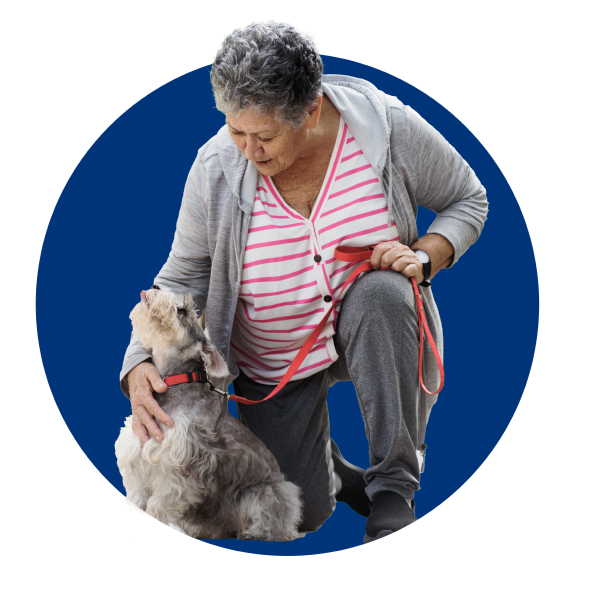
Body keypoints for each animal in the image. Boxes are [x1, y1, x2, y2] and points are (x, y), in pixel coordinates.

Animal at [115, 284, 302, 540]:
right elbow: (136, 496)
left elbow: (159, 505)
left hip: (265, 493)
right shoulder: (138, 457)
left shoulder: (181, 469)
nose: (155, 286)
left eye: (182, 311)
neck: (174, 382)